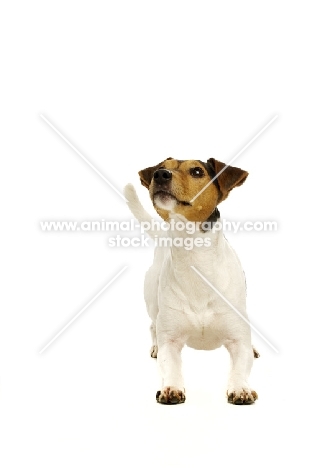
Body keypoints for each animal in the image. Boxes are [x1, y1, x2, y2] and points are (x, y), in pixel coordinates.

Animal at [123, 158, 258, 406]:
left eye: (197, 171)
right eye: (163, 167)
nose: (160, 174)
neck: (195, 261)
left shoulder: (238, 341)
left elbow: (239, 366)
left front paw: (240, 388)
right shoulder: (171, 341)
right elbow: (170, 365)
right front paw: (171, 388)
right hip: (152, 300)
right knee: (153, 325)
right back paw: (155, 346)